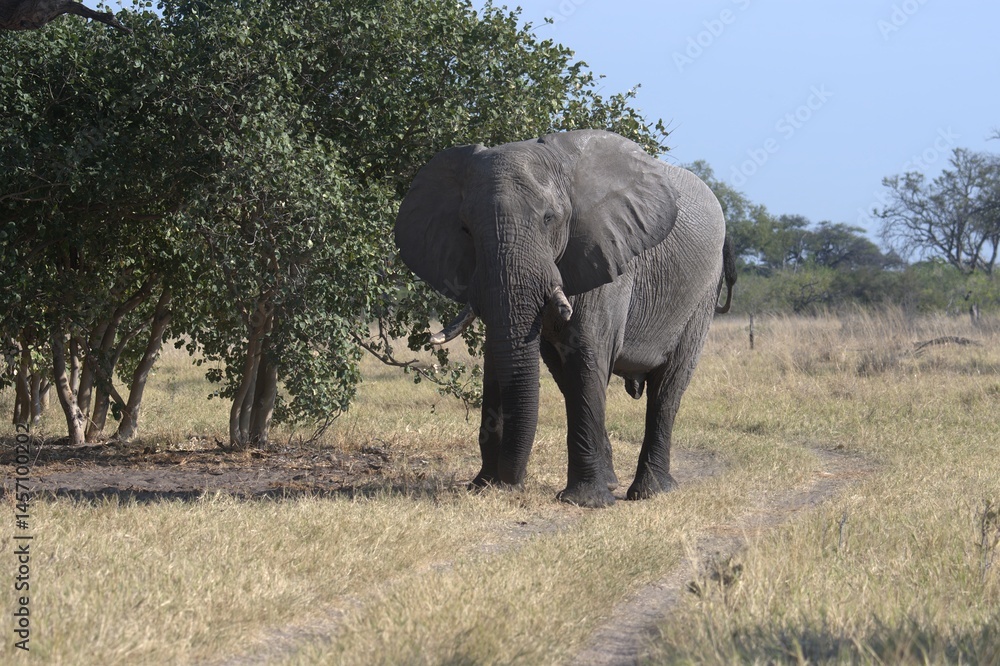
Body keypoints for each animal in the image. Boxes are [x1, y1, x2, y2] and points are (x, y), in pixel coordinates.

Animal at [395, 129, 736, 507]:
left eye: (549, 218)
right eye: (465, 229)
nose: (512, 483)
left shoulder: (606, 254)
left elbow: (586, 353)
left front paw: (585, 502)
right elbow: (500, 360)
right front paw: (484, 486)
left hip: (702, 294)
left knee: (668, 384)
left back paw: (649, 492)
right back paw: (615, 482)